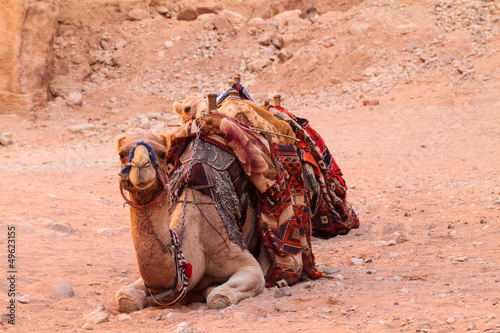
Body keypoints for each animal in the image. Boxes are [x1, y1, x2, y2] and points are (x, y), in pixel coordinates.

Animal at [114, 131, 266, 310]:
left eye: (162, 154)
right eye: (121, 154)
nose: (140, 165)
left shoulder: (242, 259)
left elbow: (218, 297)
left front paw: (209, 289)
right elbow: (125, 298)